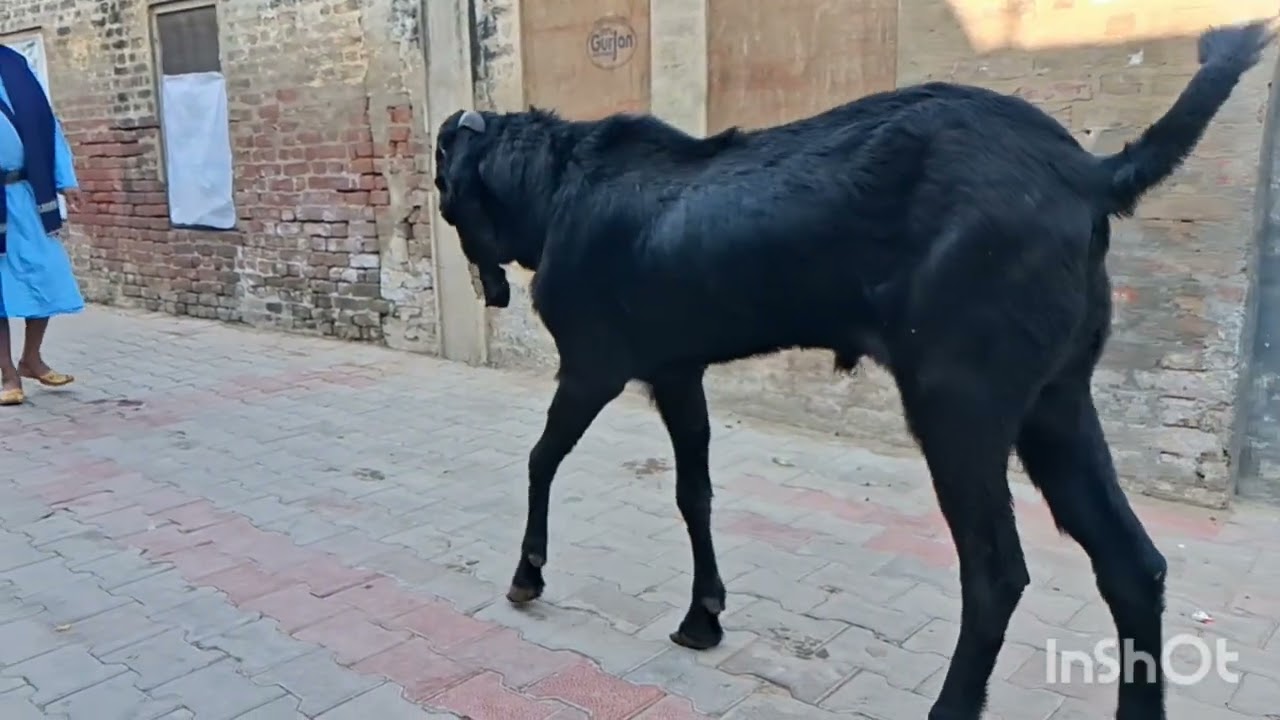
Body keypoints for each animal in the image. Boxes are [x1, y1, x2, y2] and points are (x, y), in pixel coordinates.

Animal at [432, 21, 1274, 720]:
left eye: (442, 176)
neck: (555, 187)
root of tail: (1086, 172)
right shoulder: (679, 370)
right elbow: (693, 493)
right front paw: (704, 614)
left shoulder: (594, 364)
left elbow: (542, 456)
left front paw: (529, 570)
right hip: (1055, 401)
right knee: (1132, 562)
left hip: (958, 399)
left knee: (996, 571)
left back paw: (950, 706)